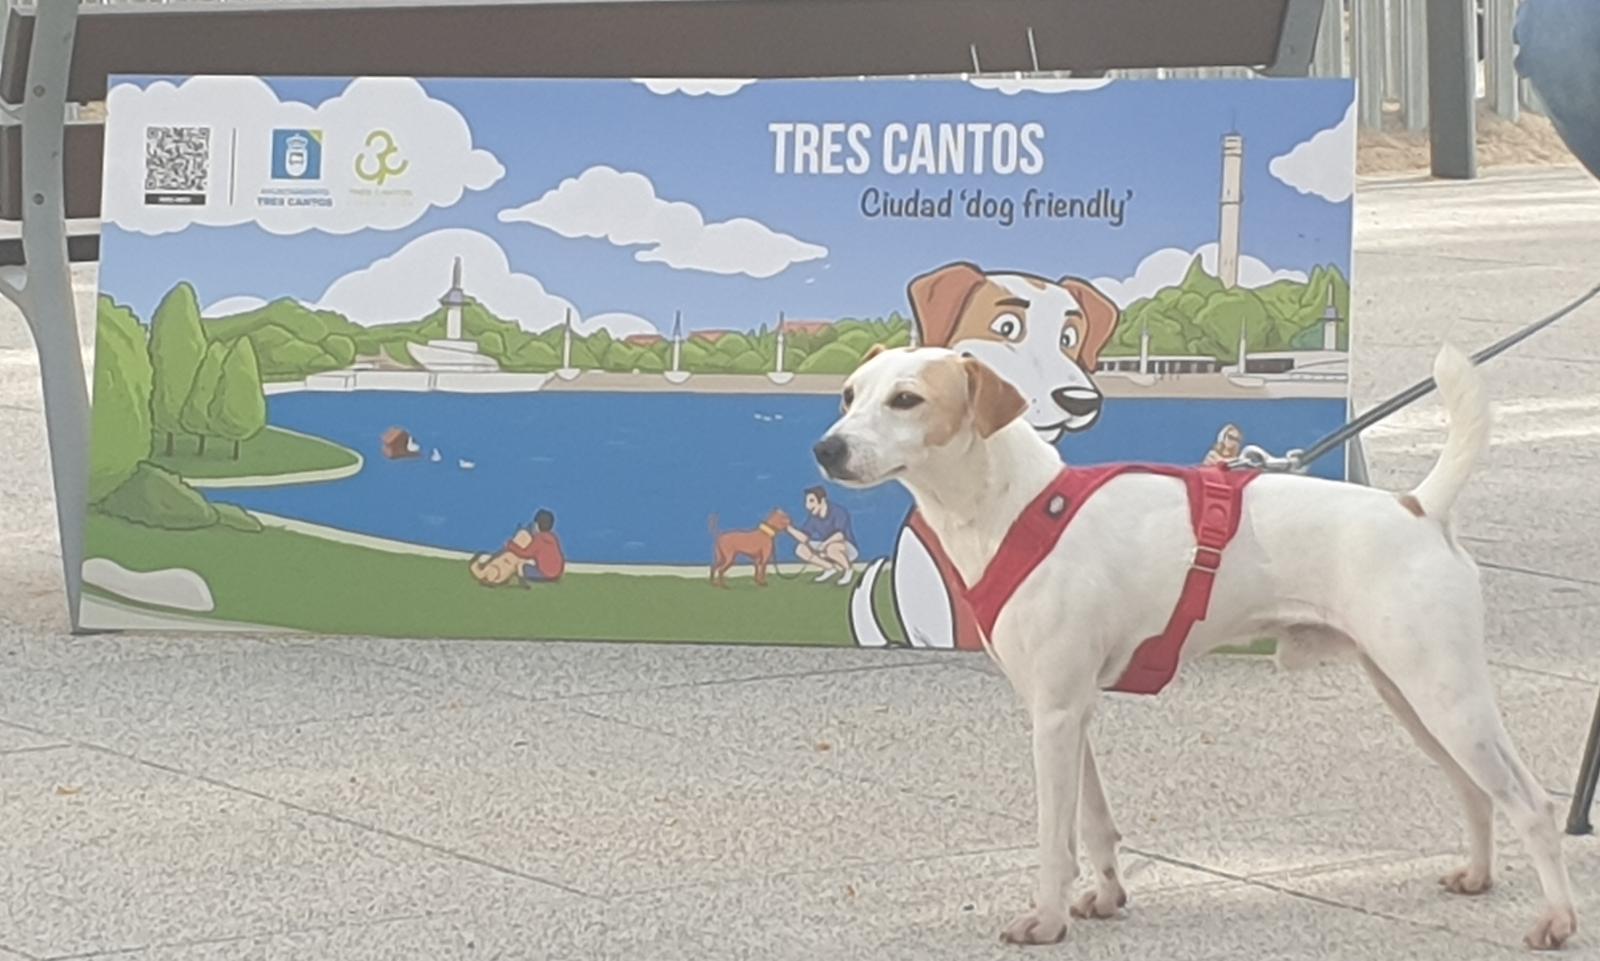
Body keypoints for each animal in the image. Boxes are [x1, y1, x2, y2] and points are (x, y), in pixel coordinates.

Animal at [812, 342, 1574, 946]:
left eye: (906, 399)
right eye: (850, 394)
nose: (826, 447)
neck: (1016, 506)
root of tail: (1418, 507)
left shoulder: (1053, 714)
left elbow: (1055, 835)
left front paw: (1048, 919)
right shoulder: (1070, 710)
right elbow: (1095, 823)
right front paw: (1105, 895)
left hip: (1445, 695)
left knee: (1531, 804)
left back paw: (1557, 918)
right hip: (1412, 696)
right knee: (1477, 792)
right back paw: (1478, 874)